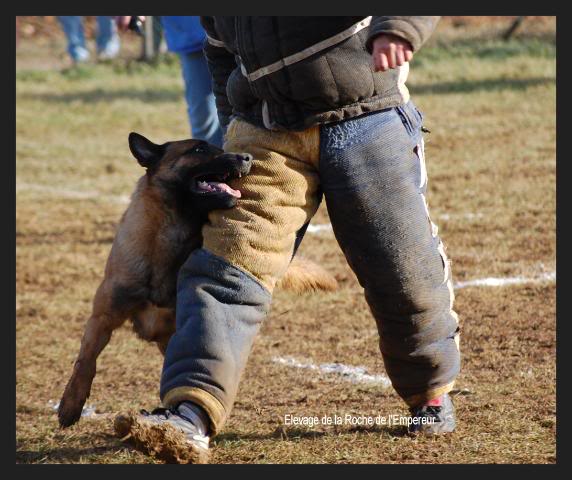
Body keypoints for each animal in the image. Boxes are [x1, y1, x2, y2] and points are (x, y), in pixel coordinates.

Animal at [58, 131, 338, 428]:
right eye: (199, 149)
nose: (248, 158)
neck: (170, 235)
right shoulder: (103, 317)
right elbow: (86, 361)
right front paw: (71, 404)